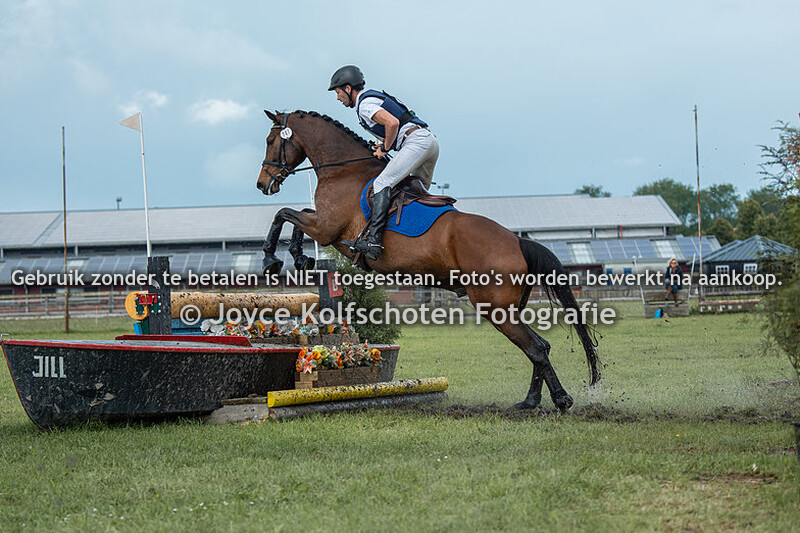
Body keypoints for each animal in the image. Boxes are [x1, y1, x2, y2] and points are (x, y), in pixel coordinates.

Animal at [256, 109, 600, 411]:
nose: (263, 184)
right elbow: (294, 215)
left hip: (495, 308)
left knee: (536, 348)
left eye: (271, 140)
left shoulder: (327, 229)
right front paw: (299, 256)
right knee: (539, 346)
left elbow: (284, 214)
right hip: (510, 307)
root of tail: (517, 241)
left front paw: (273, 258)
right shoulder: (323, 226)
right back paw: (530, 402)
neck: (344, 171)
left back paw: (560, 400)